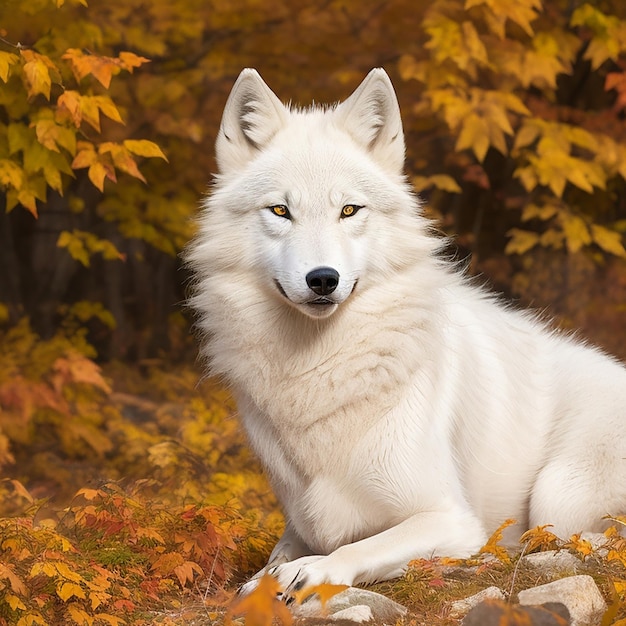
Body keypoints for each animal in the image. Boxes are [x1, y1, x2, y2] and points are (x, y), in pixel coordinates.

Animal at [185, 67, 624, 588]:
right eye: (280, 211)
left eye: (349, 210)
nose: (322, 279)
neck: (320, 370)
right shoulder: (301, 521)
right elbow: (275, 559)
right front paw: (267, 580)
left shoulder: (450, 519)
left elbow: (355, 548)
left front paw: (309, 573)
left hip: (560, 491)